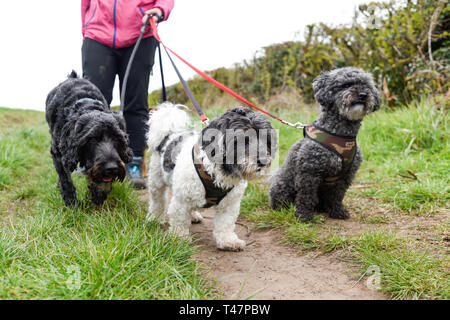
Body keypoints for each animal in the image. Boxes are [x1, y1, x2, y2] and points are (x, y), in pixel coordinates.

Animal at [46, 71, 134, 206]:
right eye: (92, 139)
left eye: (116, 138)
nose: (112, 168)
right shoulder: (58, 153)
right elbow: (66, 179)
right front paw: (71, 203)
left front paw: (98, 195)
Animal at [146, 104, 276, 251]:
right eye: (242, 139)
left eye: (266, 139)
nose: (263, 160)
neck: (218, 171)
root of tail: (170, 134)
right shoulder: (182, 200)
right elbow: (180, 220)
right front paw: (179, 238)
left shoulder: (229, 204)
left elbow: (225, 224)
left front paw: (228, 241)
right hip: (156, 180)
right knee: (157, 201)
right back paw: (155, 218)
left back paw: (193, 215)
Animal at [268, 67, 382, 222]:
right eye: (346, 85)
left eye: (366, 85)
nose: (363, 95)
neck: (341, 134)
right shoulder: (309, 173)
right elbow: (306, 197)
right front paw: (304, 215)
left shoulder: (345, 177)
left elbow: (337, 196)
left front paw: (338, 212)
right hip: (282, 185)